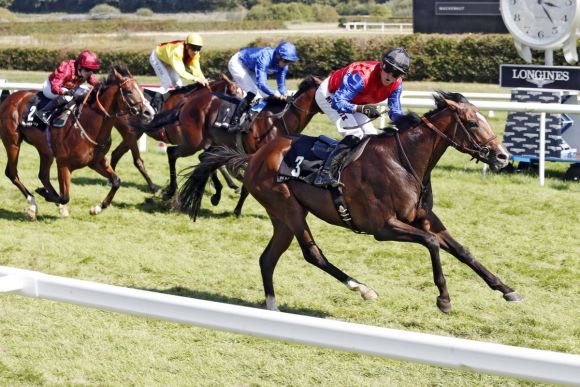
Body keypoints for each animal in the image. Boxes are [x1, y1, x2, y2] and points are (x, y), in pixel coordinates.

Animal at [0, 65, 154, 220]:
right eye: (129, 91)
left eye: (142, 90)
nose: (149, 112)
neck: (88, 124)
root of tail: (10, 98)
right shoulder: (63, 164)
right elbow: (65, 197)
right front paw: (45, 194)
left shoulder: (96, 162)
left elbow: (116, 181)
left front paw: (97, 208)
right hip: (13, 143)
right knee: (12, 173)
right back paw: (32, 205)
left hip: (45, 151)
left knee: (43, 175)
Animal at [111, 76, 242, 196]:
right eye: (234, 92)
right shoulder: (193, 142)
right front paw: (235, 183)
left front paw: (234, 184)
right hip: (131, 133)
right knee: (137, 160)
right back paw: (152, 187)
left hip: (134, 134)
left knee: (115, 153)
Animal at [180, 92, 520, 314]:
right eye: (472, 124)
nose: (503, 156)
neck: (404, 162)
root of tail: (254, 157)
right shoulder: (383, 227)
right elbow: (432, 243)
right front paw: (444, 299)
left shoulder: (424, 218)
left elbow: (462, 250)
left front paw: (506, 289)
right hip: (288, 209)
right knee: (312, 254)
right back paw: (363, 289)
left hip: (282, 219)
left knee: (267, 259)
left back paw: (273, 307)